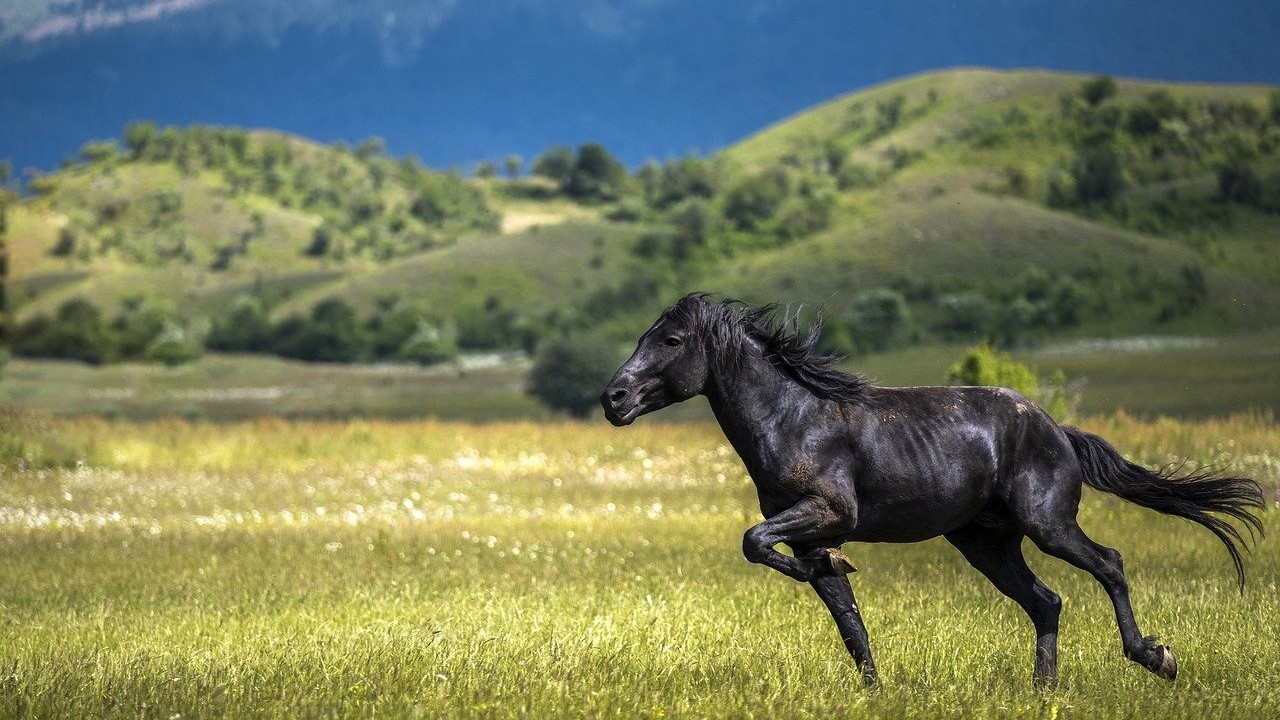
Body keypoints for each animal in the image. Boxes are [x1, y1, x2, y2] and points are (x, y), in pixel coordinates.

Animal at [599, 292, 1259, 681]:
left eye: (672, 340)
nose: (613, 398)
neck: (794, 419)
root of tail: (1058, 430)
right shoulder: (809, 532)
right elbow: (847, 619)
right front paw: (869, 679)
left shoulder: (830, 511)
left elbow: (754, 540)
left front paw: (837, 567)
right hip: (987, 544)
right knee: (1047, 601)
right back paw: (1043, 692)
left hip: (1048, 525)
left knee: (1109, 564)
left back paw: (1155, 657)